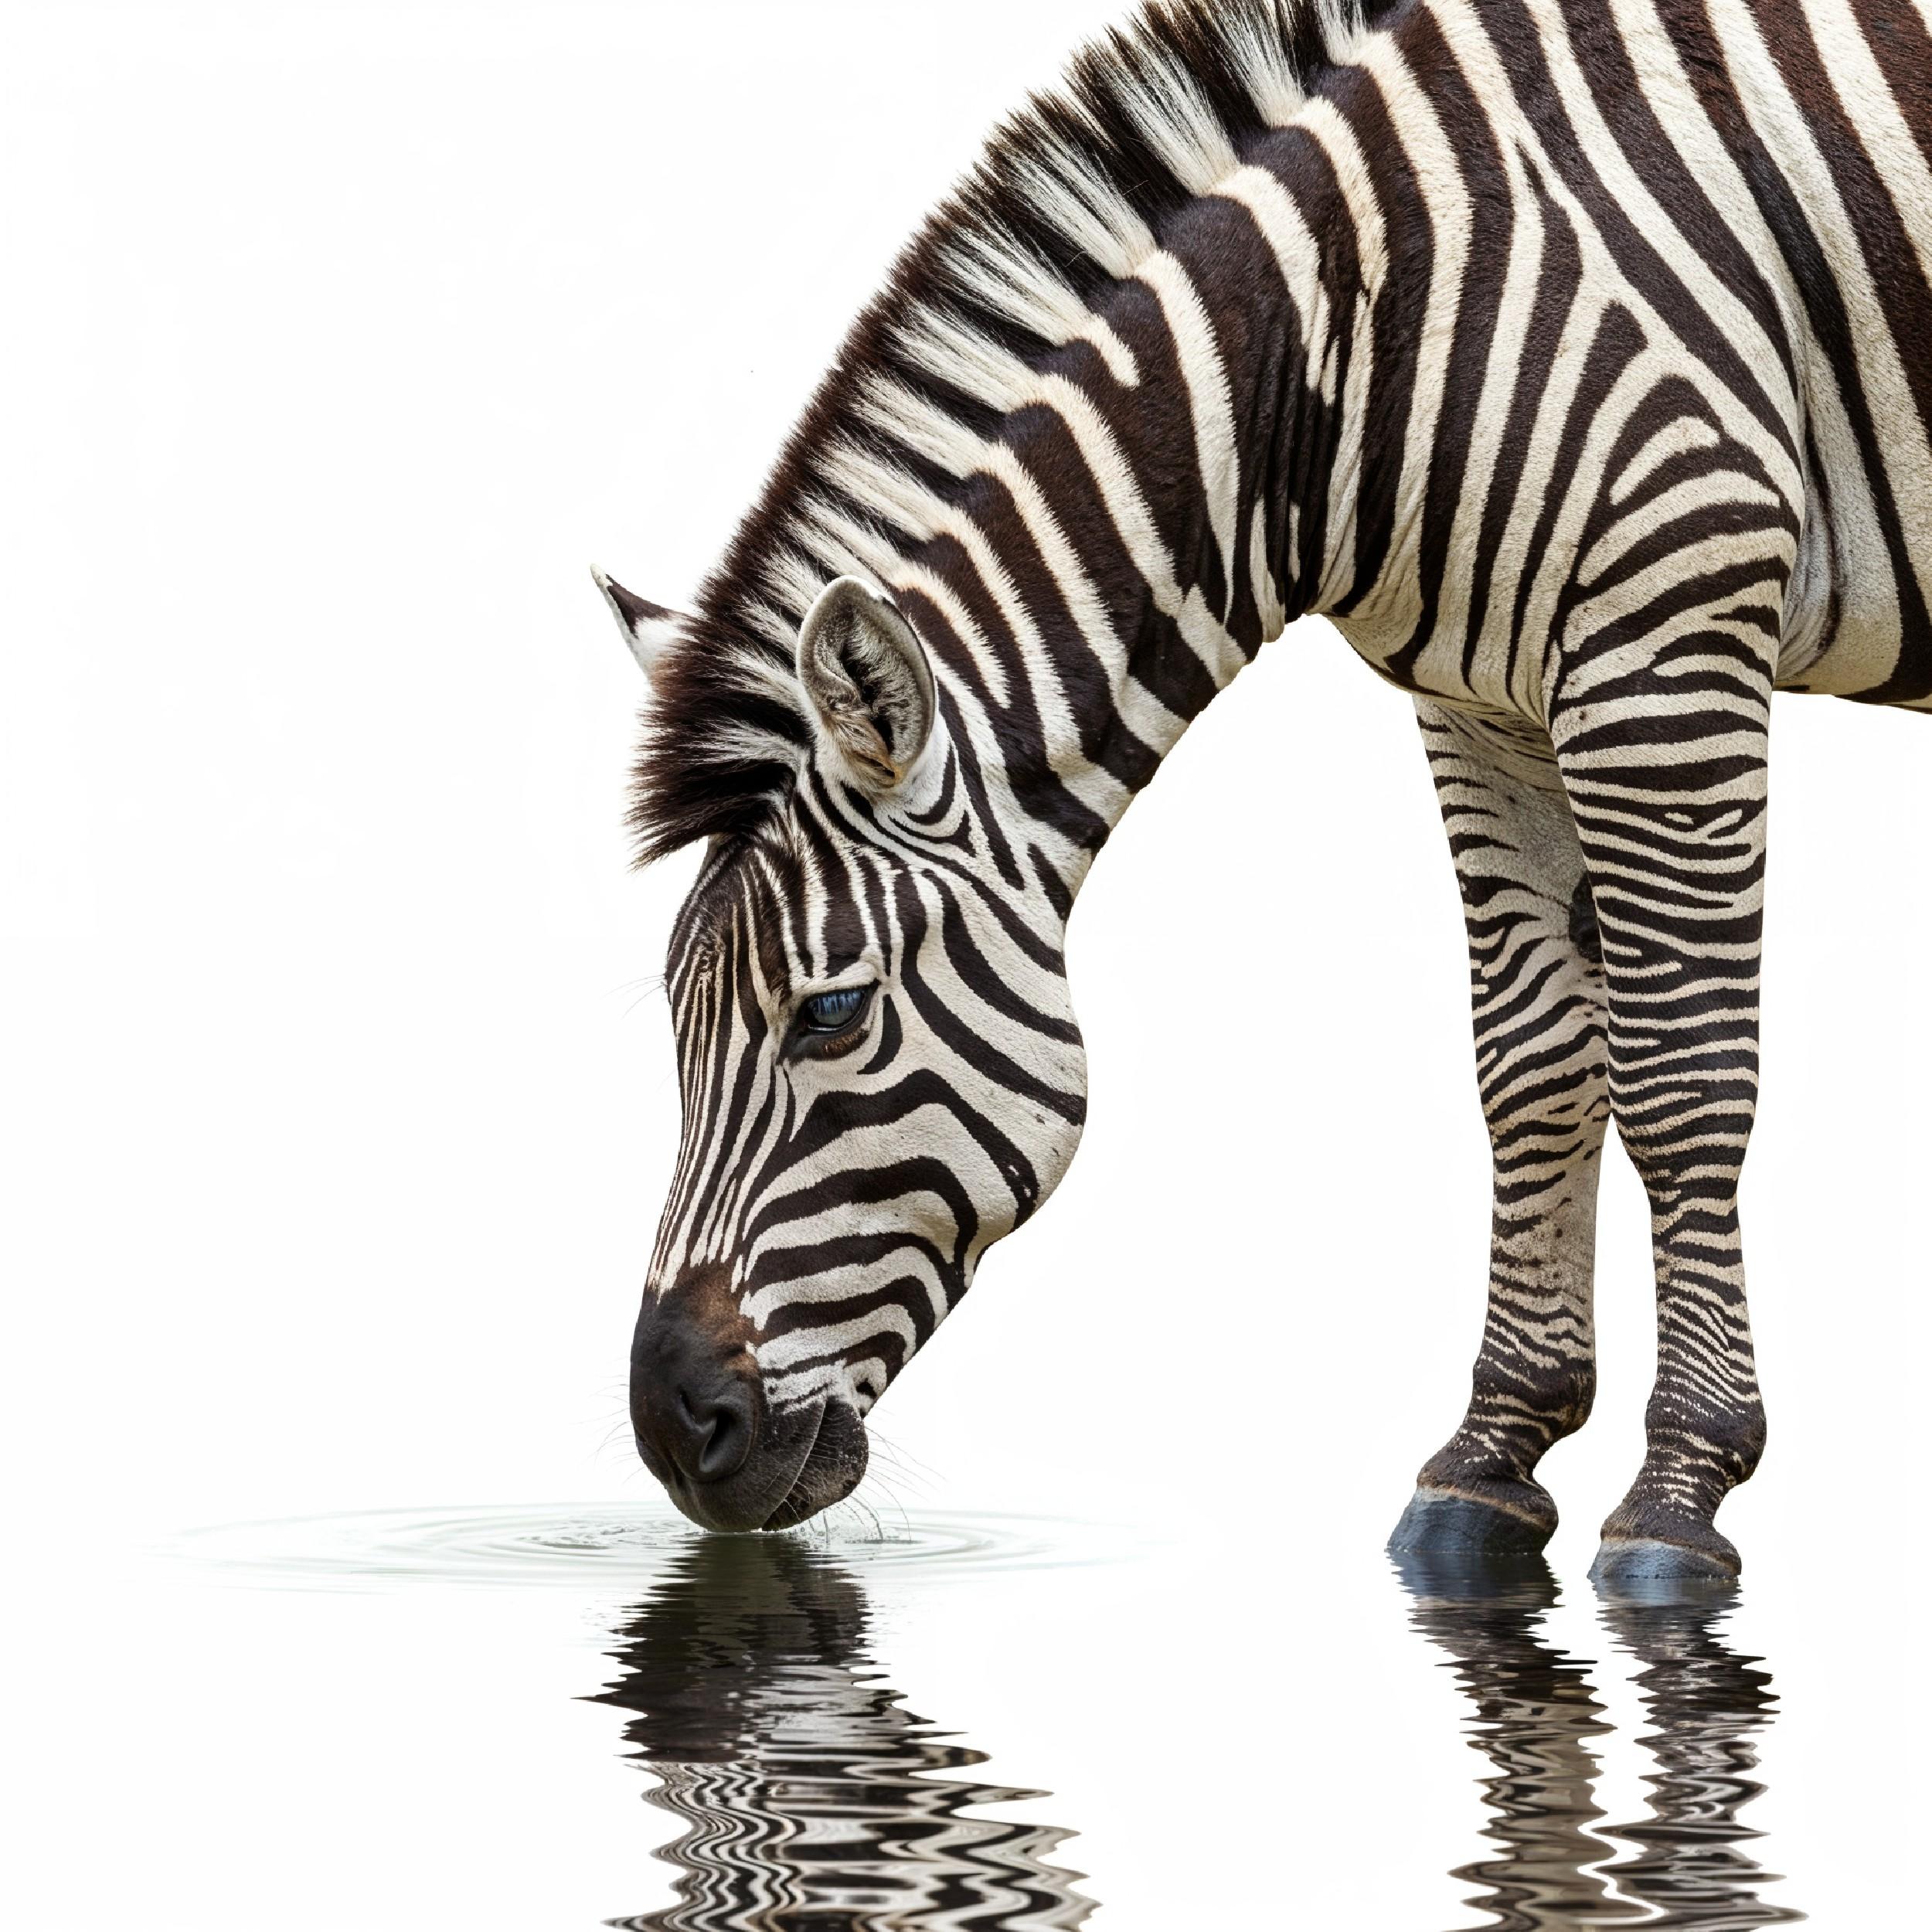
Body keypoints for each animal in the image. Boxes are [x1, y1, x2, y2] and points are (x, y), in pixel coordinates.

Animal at [597, 0, 1930, 1582]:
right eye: (673, 1023)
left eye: (834, 1012)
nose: (673, 1434)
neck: (1353, 338)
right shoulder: (1481, 696)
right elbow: (1534, 1069)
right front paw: (1492, 1461)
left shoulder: (1669, 632)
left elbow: (1680, 1074)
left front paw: (1680, 1490)